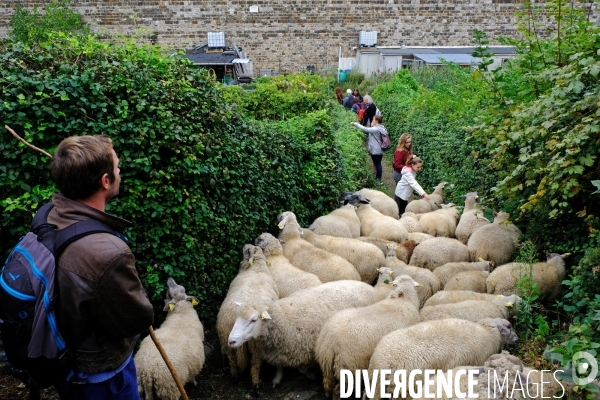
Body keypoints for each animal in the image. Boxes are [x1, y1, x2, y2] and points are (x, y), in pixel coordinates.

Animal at [216, 245, 278, 386]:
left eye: (248, 250)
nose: (244, 245)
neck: (255, 268)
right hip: (255, 347)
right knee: (255, 364)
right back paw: (256, 383)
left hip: (229, 341)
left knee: (234, 360)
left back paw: (235, 376)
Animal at [227, 278, 386, 388]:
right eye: (236, 317)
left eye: (253, 320)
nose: (231, 341)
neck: (281, 320)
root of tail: (366, 285)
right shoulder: (279, 350)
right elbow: (279, 366)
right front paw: (277, 379)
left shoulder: (306, 350)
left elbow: (302, 369)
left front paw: (311, 375)